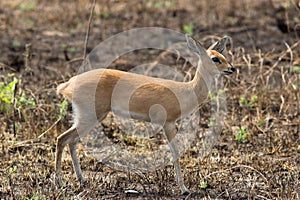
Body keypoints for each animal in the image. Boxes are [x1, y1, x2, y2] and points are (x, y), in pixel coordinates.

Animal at [55, 34, 236, 195]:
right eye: (215, 59)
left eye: (223, 55)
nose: (232, 68)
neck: (187, 90)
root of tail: (68, 84)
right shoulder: (168, 124)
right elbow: (175, 152)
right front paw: (184, 189)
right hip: (89, 117)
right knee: (62, 138)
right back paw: (59, 182)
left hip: (88, 117)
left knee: (71, 141)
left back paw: (81, 180)